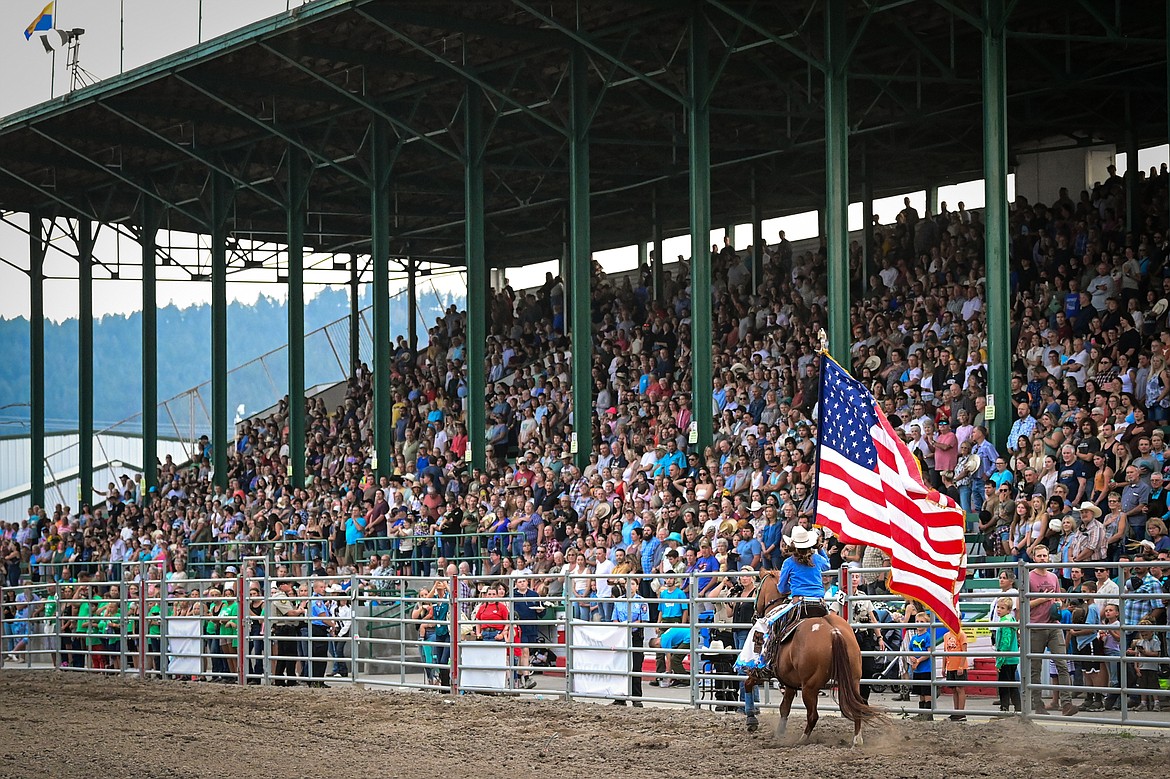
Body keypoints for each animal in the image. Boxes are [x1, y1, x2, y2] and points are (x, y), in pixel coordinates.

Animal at [744, 568, 879, 743]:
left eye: (757, 590)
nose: (754, 615)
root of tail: (834, 632)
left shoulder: (760, 672)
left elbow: (748, 685)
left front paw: (751, 720)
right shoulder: (789, 682)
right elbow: (784, 707)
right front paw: (779, 732)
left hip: (809, 687)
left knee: (813, 715)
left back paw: (802, 740)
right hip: (853, 680)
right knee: (858, 706)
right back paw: (857, 739)